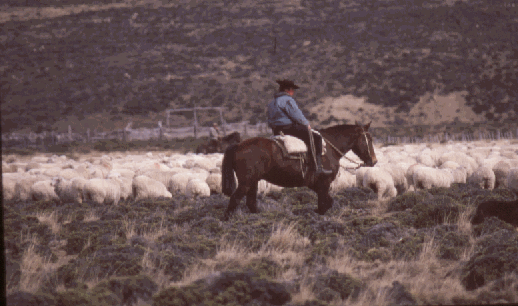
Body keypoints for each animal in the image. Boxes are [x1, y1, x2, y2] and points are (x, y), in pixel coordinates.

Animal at [221, 122, 380, 218]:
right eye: (369, 139)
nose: (374, 161)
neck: (328, 148)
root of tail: (238, 145)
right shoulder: (324, 183)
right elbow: (324, 204)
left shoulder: (315, 184)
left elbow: (328, 202)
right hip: (246, 182)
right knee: (235, 200)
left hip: (253, 182)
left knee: (251, 203)